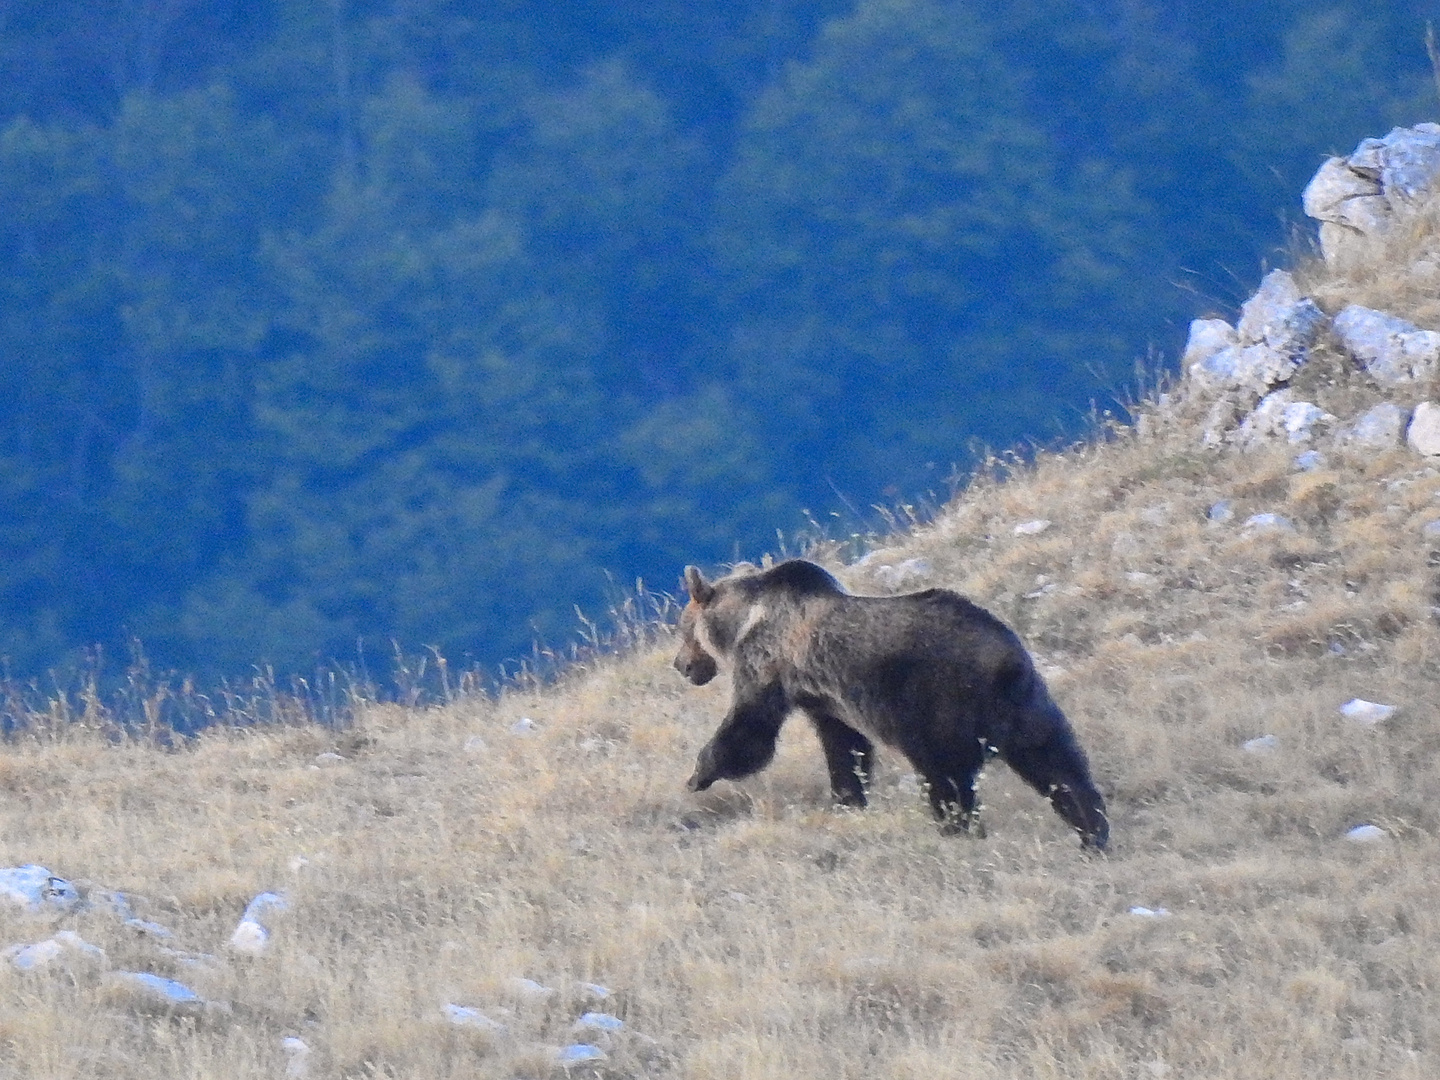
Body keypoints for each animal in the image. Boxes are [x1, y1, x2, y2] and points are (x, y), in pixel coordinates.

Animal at [676, 558, 1111, 852]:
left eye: (683, 629)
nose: (681, 665)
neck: (743, 622)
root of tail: (1001, 660)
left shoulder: (769, 664)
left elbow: (749, 729)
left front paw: (697, 775)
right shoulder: (825, 700)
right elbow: (845, 747)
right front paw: (847, 798)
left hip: (937, 707)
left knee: (945, 777)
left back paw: (955, 829)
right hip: (1028, 707)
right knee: (1061, 769)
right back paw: (1092, 835)